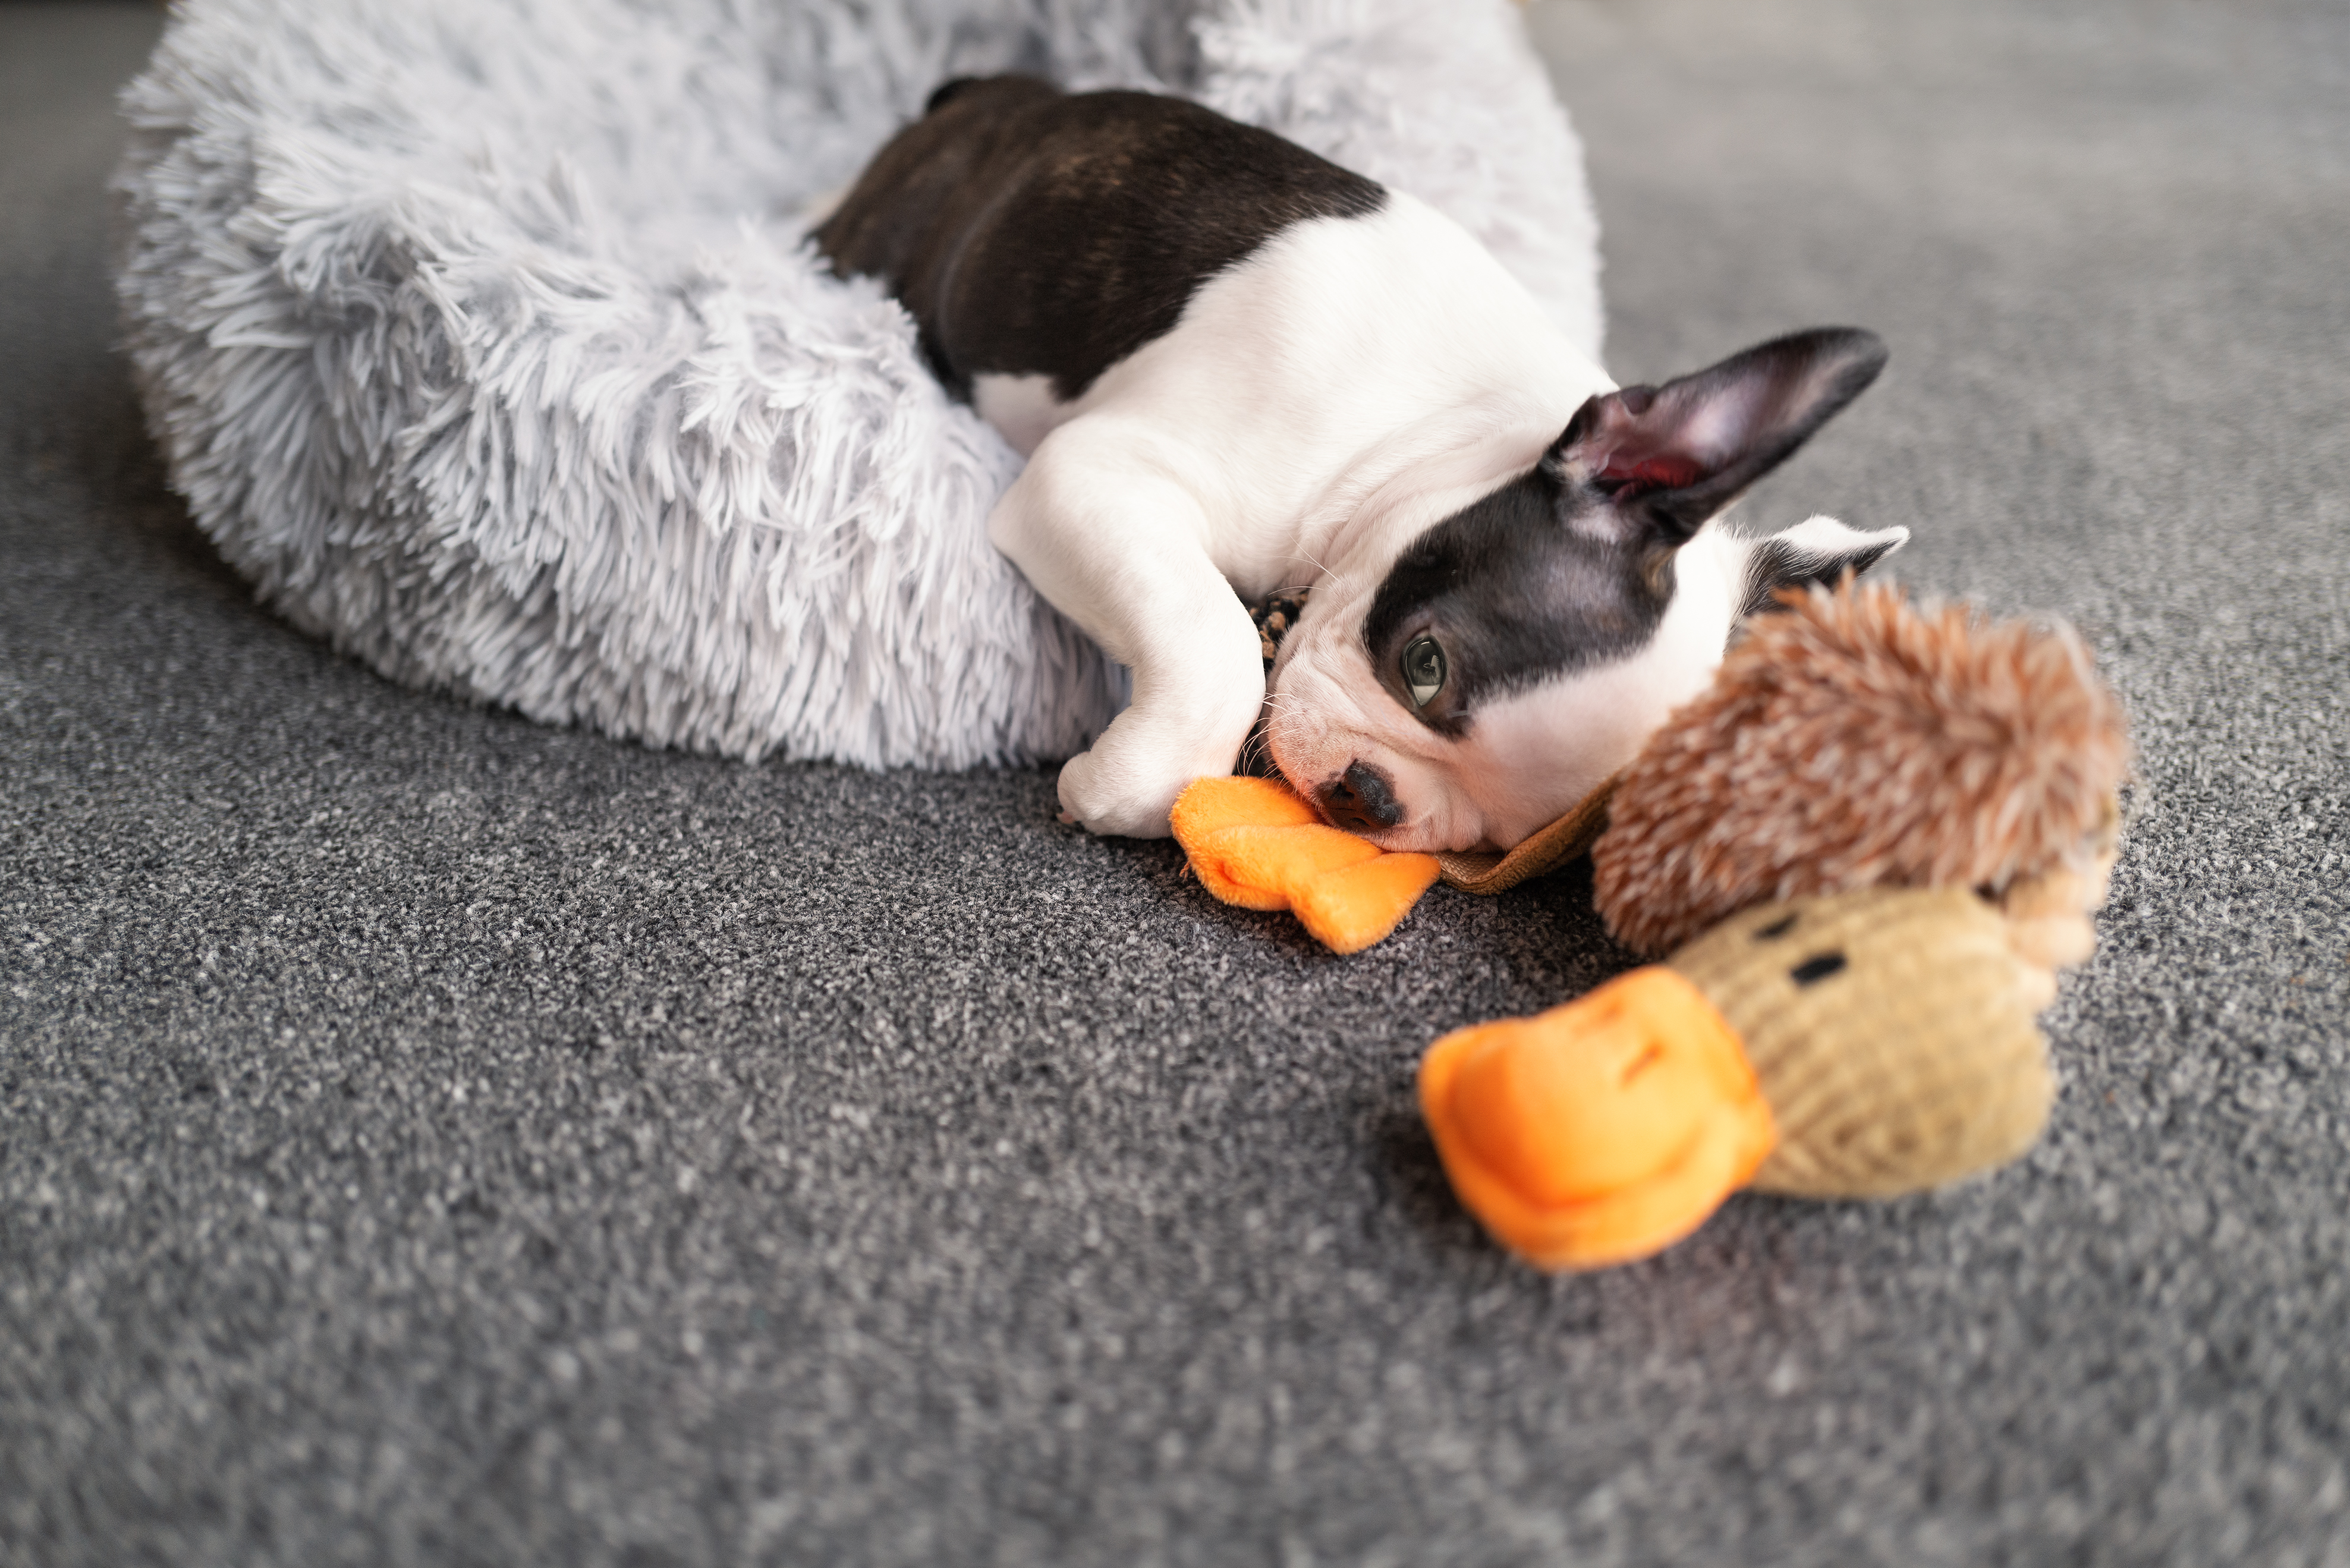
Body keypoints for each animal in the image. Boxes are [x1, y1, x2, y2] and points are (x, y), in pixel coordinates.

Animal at [817, 80, 1899, 851]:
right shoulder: (1092, 472)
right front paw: (1127, 783)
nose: (1371, 796)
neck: (1428, 433)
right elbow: (1213, 636)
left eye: (1510, 837)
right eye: (1422, 667)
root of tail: (994, 95)